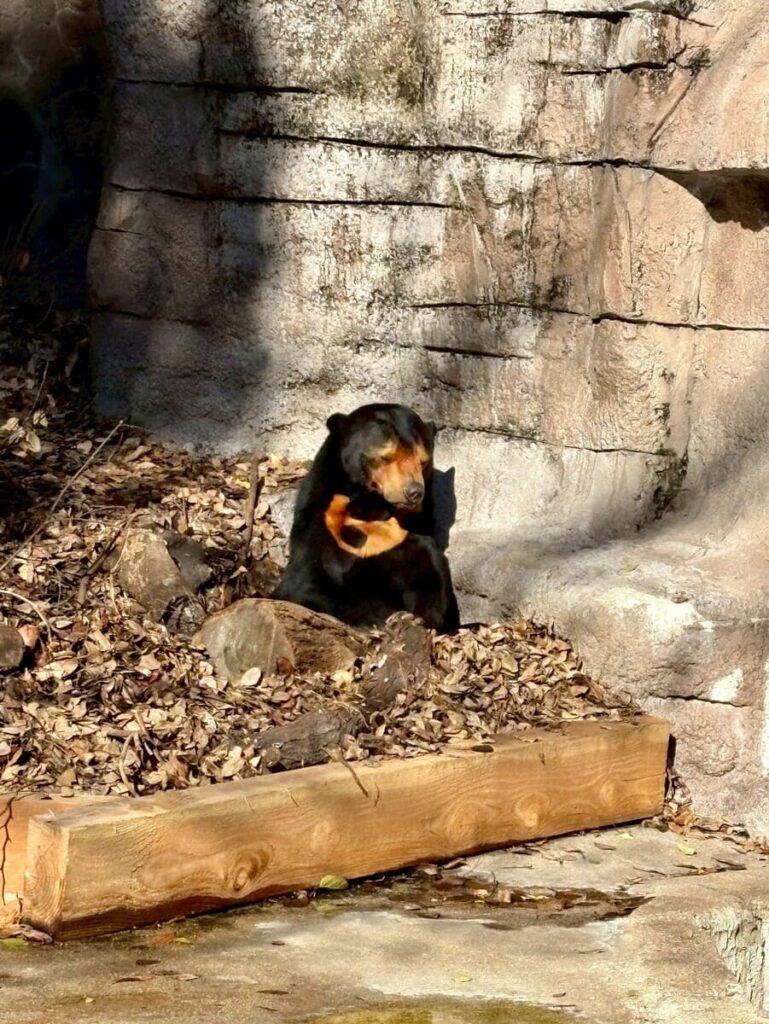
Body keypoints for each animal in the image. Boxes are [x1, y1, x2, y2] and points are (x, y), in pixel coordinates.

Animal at [273, 403, 459, 632]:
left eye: (423, 461)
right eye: (386, 457)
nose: (414, 492)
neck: (370, 508)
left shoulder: (404, 536)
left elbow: (429, 572)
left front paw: (419, 616)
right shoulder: (320, 524)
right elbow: (307, 582)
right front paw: (384, 617)